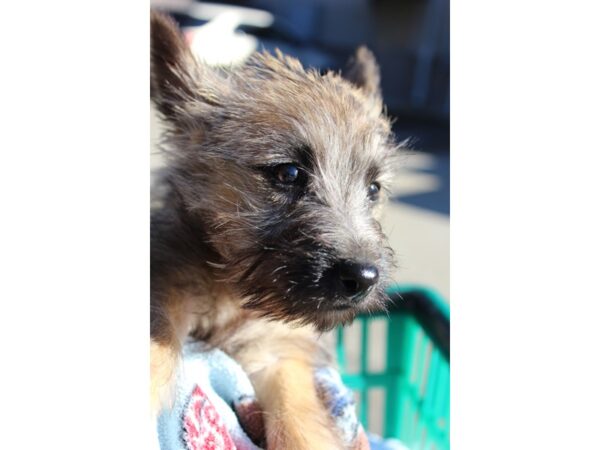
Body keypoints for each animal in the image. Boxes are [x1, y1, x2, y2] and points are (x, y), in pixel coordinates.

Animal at [151, 11, 398, 450]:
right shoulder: (165, 276)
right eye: (288, 173)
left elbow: (298, 421)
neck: (232, 294)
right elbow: (156, 329)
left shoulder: (276, 352)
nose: (364, 277)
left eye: (373, 188)